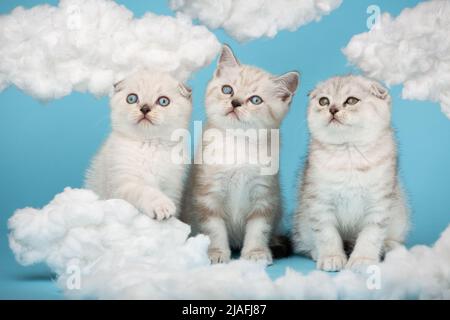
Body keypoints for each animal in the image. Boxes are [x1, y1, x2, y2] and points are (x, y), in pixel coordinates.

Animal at [85, 69, 192, 220]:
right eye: (132, 98)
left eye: (163, 101)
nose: (145, 108)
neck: (149, 145)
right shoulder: (122, 183)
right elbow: (145, 190)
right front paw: (162, 206)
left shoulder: (172, 187)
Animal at [181, 45, 300, 264]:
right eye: (227, 90)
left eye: (255, 100)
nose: (235, 102)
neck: (238, 144)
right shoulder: (208, 196)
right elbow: (214, 229)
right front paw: (216, 253)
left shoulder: (264, 195)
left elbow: (258, 229)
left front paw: (256, 253)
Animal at [294, 75, 410, 272]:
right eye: (324, 101)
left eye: (351, 101)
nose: (333, 109)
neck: (348, 152)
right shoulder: (319, 201)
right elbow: (327, 233)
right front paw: (331, 256)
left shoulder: (379, 203)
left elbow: (370, 235)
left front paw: (363, 259)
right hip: (301, 222)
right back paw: (317, 252)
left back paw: (389, 247)